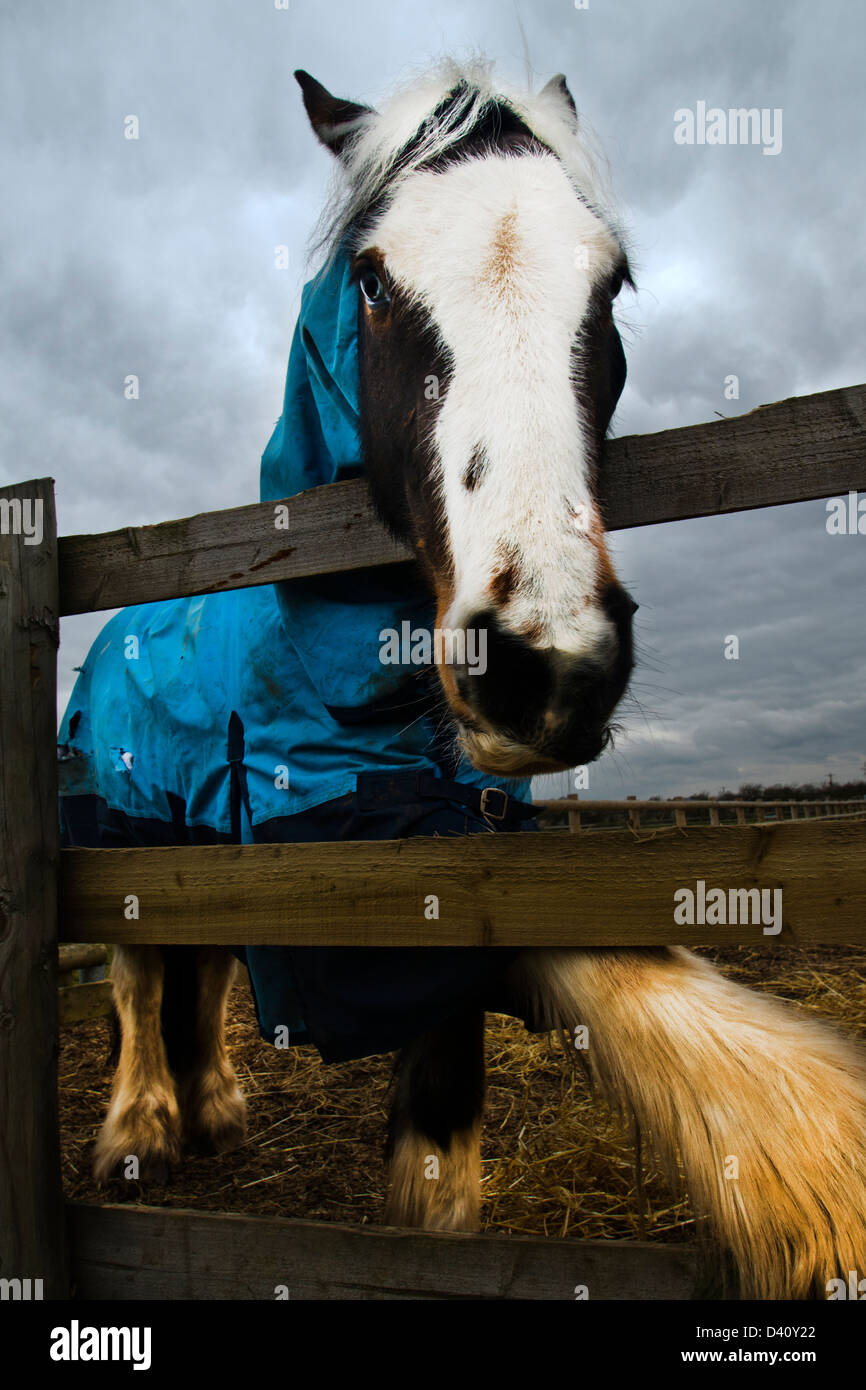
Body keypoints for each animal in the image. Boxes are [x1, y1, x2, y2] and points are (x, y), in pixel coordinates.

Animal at [59, 59, 866, 1300]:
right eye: (371, 282)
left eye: (612, 284)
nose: (544, 664)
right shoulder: (347, 850)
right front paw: (819, 1177)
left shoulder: (449, 847)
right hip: (125, 837)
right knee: (142, 978)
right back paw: (139, 1129)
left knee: (204, 978)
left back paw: (214, 1109)